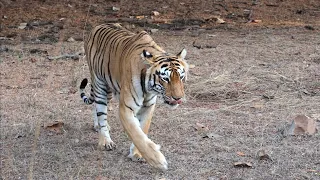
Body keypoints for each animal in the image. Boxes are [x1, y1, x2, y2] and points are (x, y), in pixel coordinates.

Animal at [79, 23, 189, 170]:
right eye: (165, 79)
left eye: (181, 77)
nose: (178, 98)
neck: (149, 88)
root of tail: (97, 26)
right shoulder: (126, 108)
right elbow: (136, 133)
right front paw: (157, 161)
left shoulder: (148, 107)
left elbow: (142, 129)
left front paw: (136, 154)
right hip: (99, 84)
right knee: (101, 112)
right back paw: (105, 141)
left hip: (108, 90)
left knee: (96, 106)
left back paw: (98, 126)